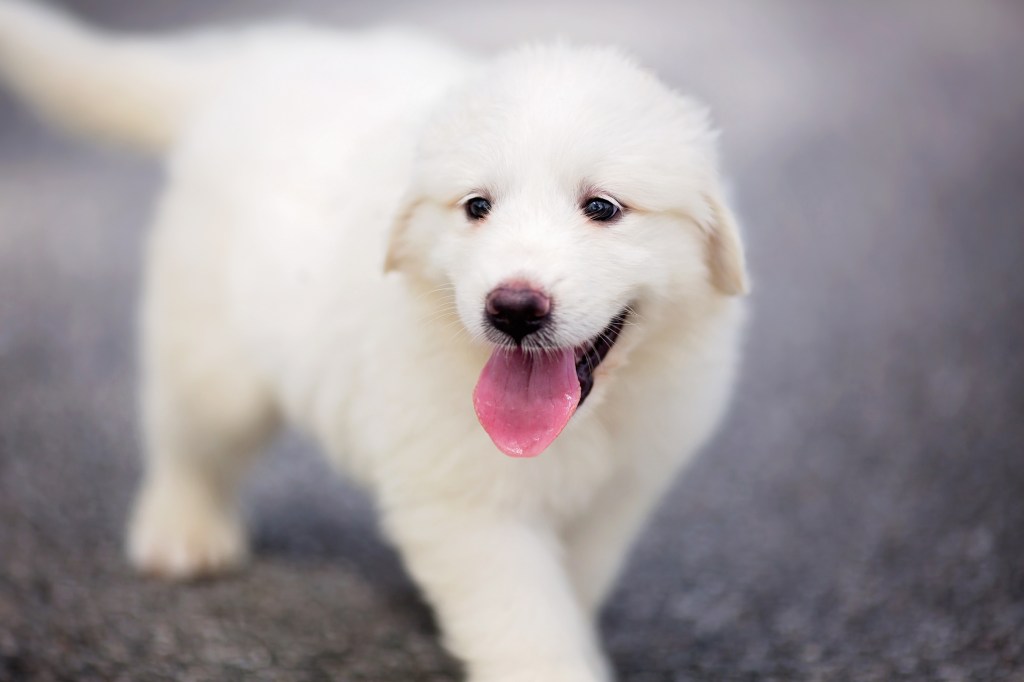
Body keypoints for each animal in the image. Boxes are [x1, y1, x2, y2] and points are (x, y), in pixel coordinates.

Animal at [2, 2, 753, 675]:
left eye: (602, 207)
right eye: (476, 206)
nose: (513, 308)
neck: (584, 421)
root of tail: (259, 59)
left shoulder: (623, 488)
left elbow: (573, 581)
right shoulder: (464, 500)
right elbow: (524, 617)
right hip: (213, 350)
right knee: (189, 435)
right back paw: (182, 531)